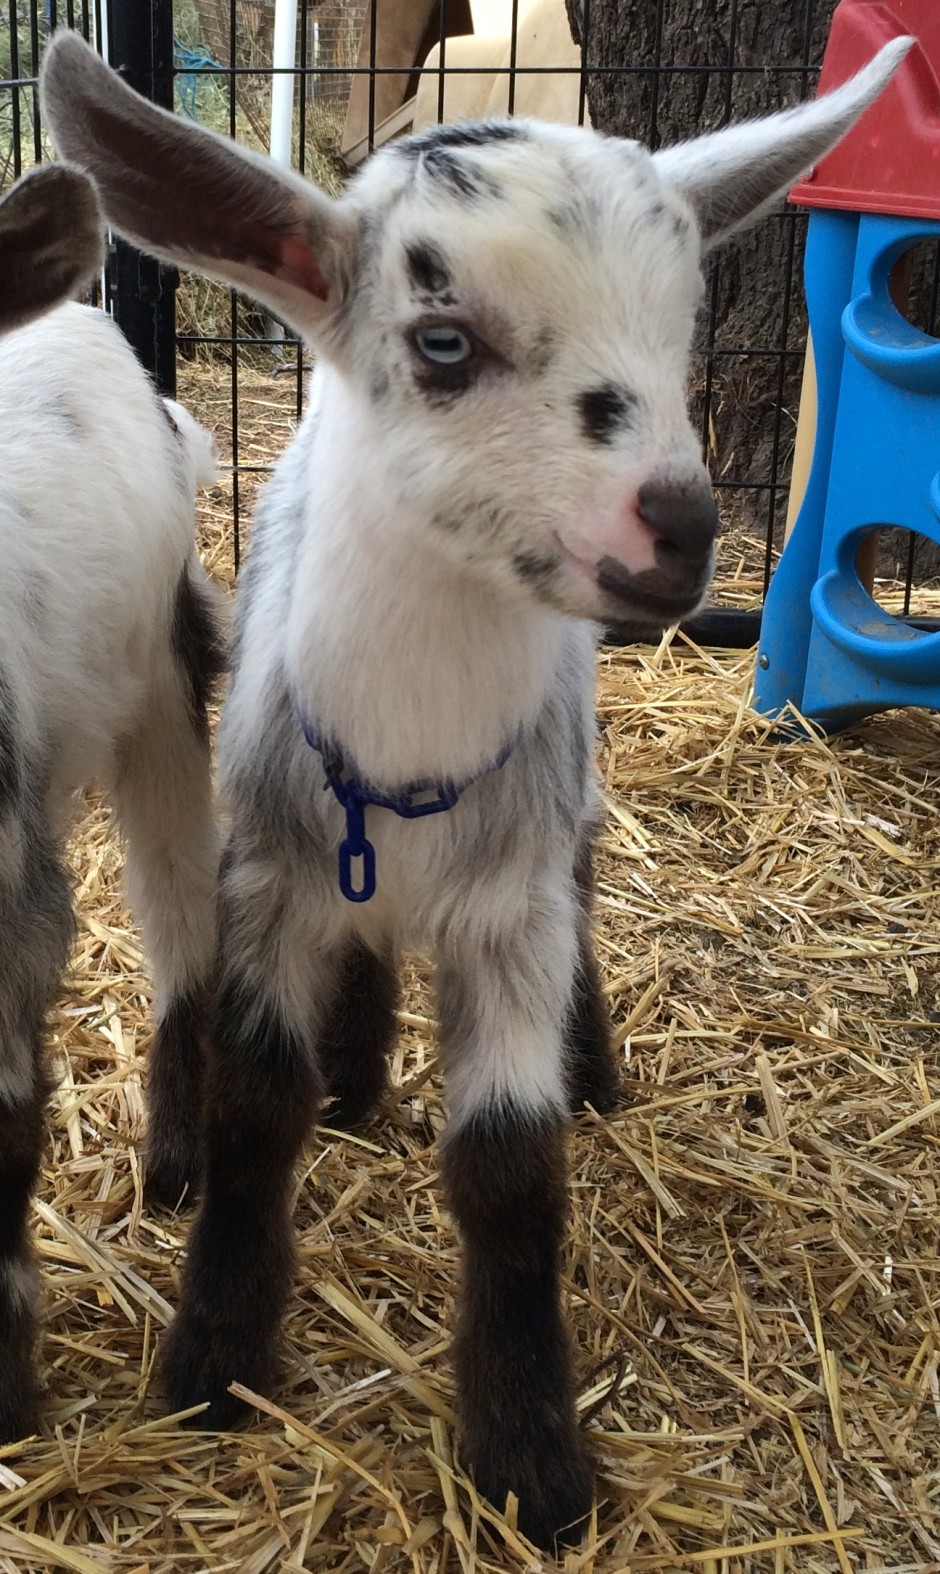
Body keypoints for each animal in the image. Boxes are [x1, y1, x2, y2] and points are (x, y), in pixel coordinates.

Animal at [42, 30, 909, 1547]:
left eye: (683, 329)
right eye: (444, 341)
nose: (680, 527)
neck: (412, 761)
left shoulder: (510, 903)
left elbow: (511, 1171)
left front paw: (531, 1459)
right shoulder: (275, 870)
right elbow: (253, 1102)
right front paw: (215, 1362)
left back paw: (591, 1061)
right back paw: (354, 1072)